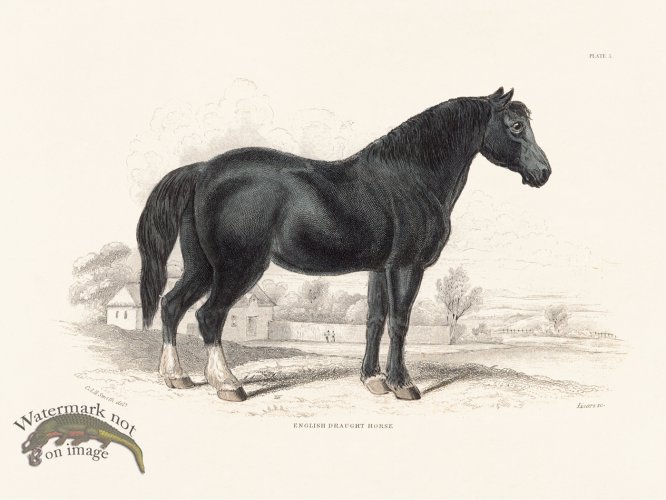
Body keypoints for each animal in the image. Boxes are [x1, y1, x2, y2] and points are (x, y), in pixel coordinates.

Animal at [137, 87, 551, 402]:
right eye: (516, 125)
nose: (544, 172)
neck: (411, 176)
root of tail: (203, 170)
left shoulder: (379, 268)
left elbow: (374, 320)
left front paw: (373, 379)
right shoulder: (406, 266)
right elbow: (400, 322)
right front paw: (403, 385)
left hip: (201, 267)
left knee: (171, 306)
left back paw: (176, 377)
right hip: (238, 268)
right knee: (209, 316)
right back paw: (228, 385)